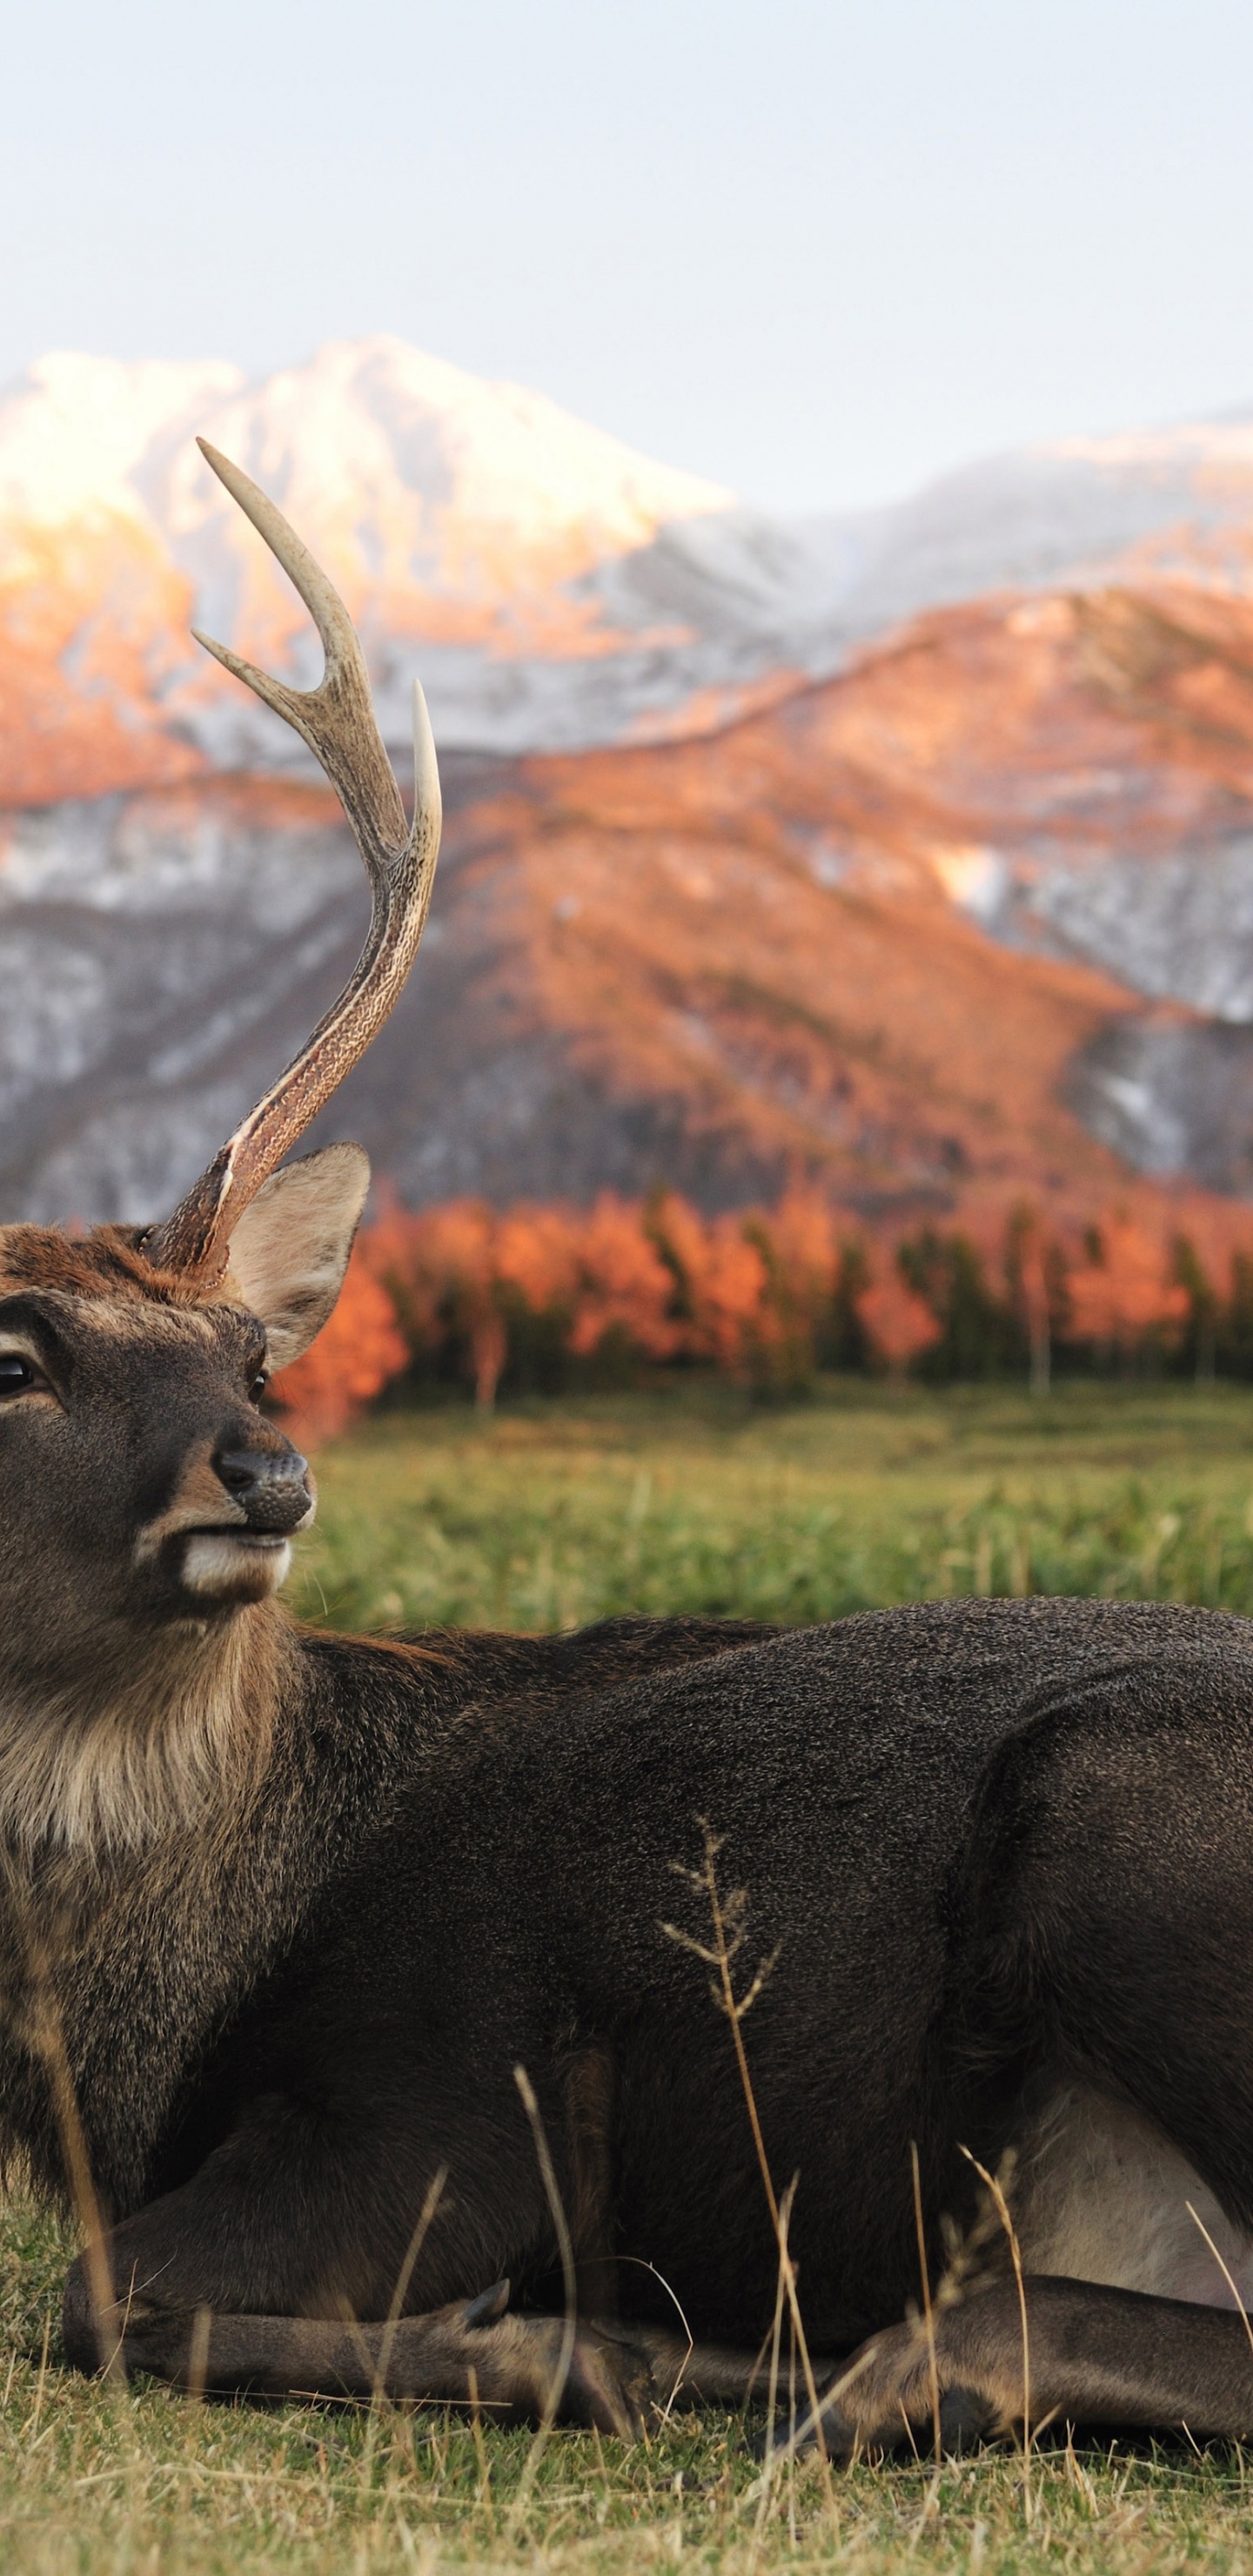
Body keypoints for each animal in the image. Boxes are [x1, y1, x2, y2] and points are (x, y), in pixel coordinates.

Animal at [2, 448, 1253, 2472]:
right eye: (13, 1354)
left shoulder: (451, 2094)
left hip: (1119, 1809)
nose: (262, 1472)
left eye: (249, 1348)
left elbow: (104, 2300)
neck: (131, 2057)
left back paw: (731, 2358)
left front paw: (545, 2342)